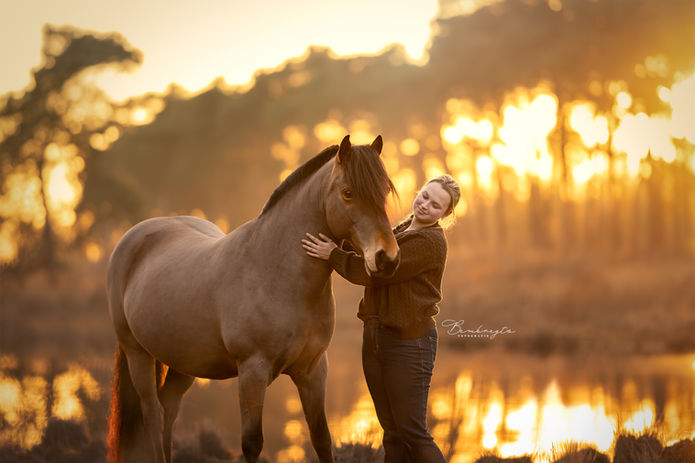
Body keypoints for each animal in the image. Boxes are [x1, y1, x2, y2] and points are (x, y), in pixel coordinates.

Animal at [106, 134, 401, 463]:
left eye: (384, 191)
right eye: (348, 192)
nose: (386, 258)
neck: (275, 271)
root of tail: (134, 236)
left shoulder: (313, 370)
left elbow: (322, 438)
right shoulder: (252, 373)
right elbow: (252, 442)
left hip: (183, 361)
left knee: (169, 409)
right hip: (137, 354)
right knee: (153, 415)